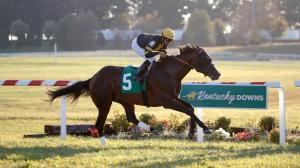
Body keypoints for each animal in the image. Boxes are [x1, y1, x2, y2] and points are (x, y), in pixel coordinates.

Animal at [47, 43, 220, 144]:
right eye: (206, 59)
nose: (217, 74)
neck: (169, 72)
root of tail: (93, 78)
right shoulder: (166, 101)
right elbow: (187, 110)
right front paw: (206, 129)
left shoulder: (173, 97)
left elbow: (190, 107)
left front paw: (191, 133)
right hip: (104, 103)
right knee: (99, 123)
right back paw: (103, 141)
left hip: (126, 100)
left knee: (131, 118)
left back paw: (153, 129)